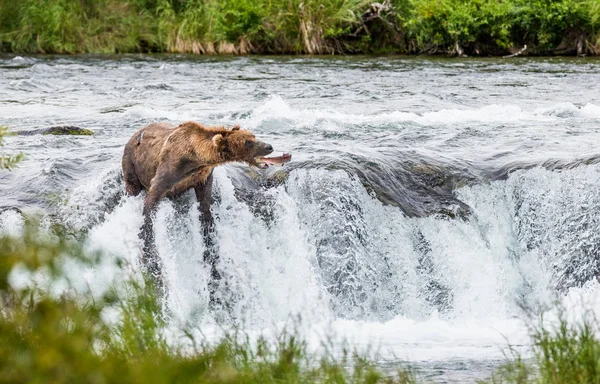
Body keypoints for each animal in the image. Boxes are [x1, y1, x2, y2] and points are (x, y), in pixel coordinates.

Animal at [123, 121, 274, 284]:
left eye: (253, 136)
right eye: (248, 142)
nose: (269, 146)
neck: (195, 158)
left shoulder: (202, 176)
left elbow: (205, 206)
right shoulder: (168, 172)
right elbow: (151, 201)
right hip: (131, 163)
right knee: (132, 185)